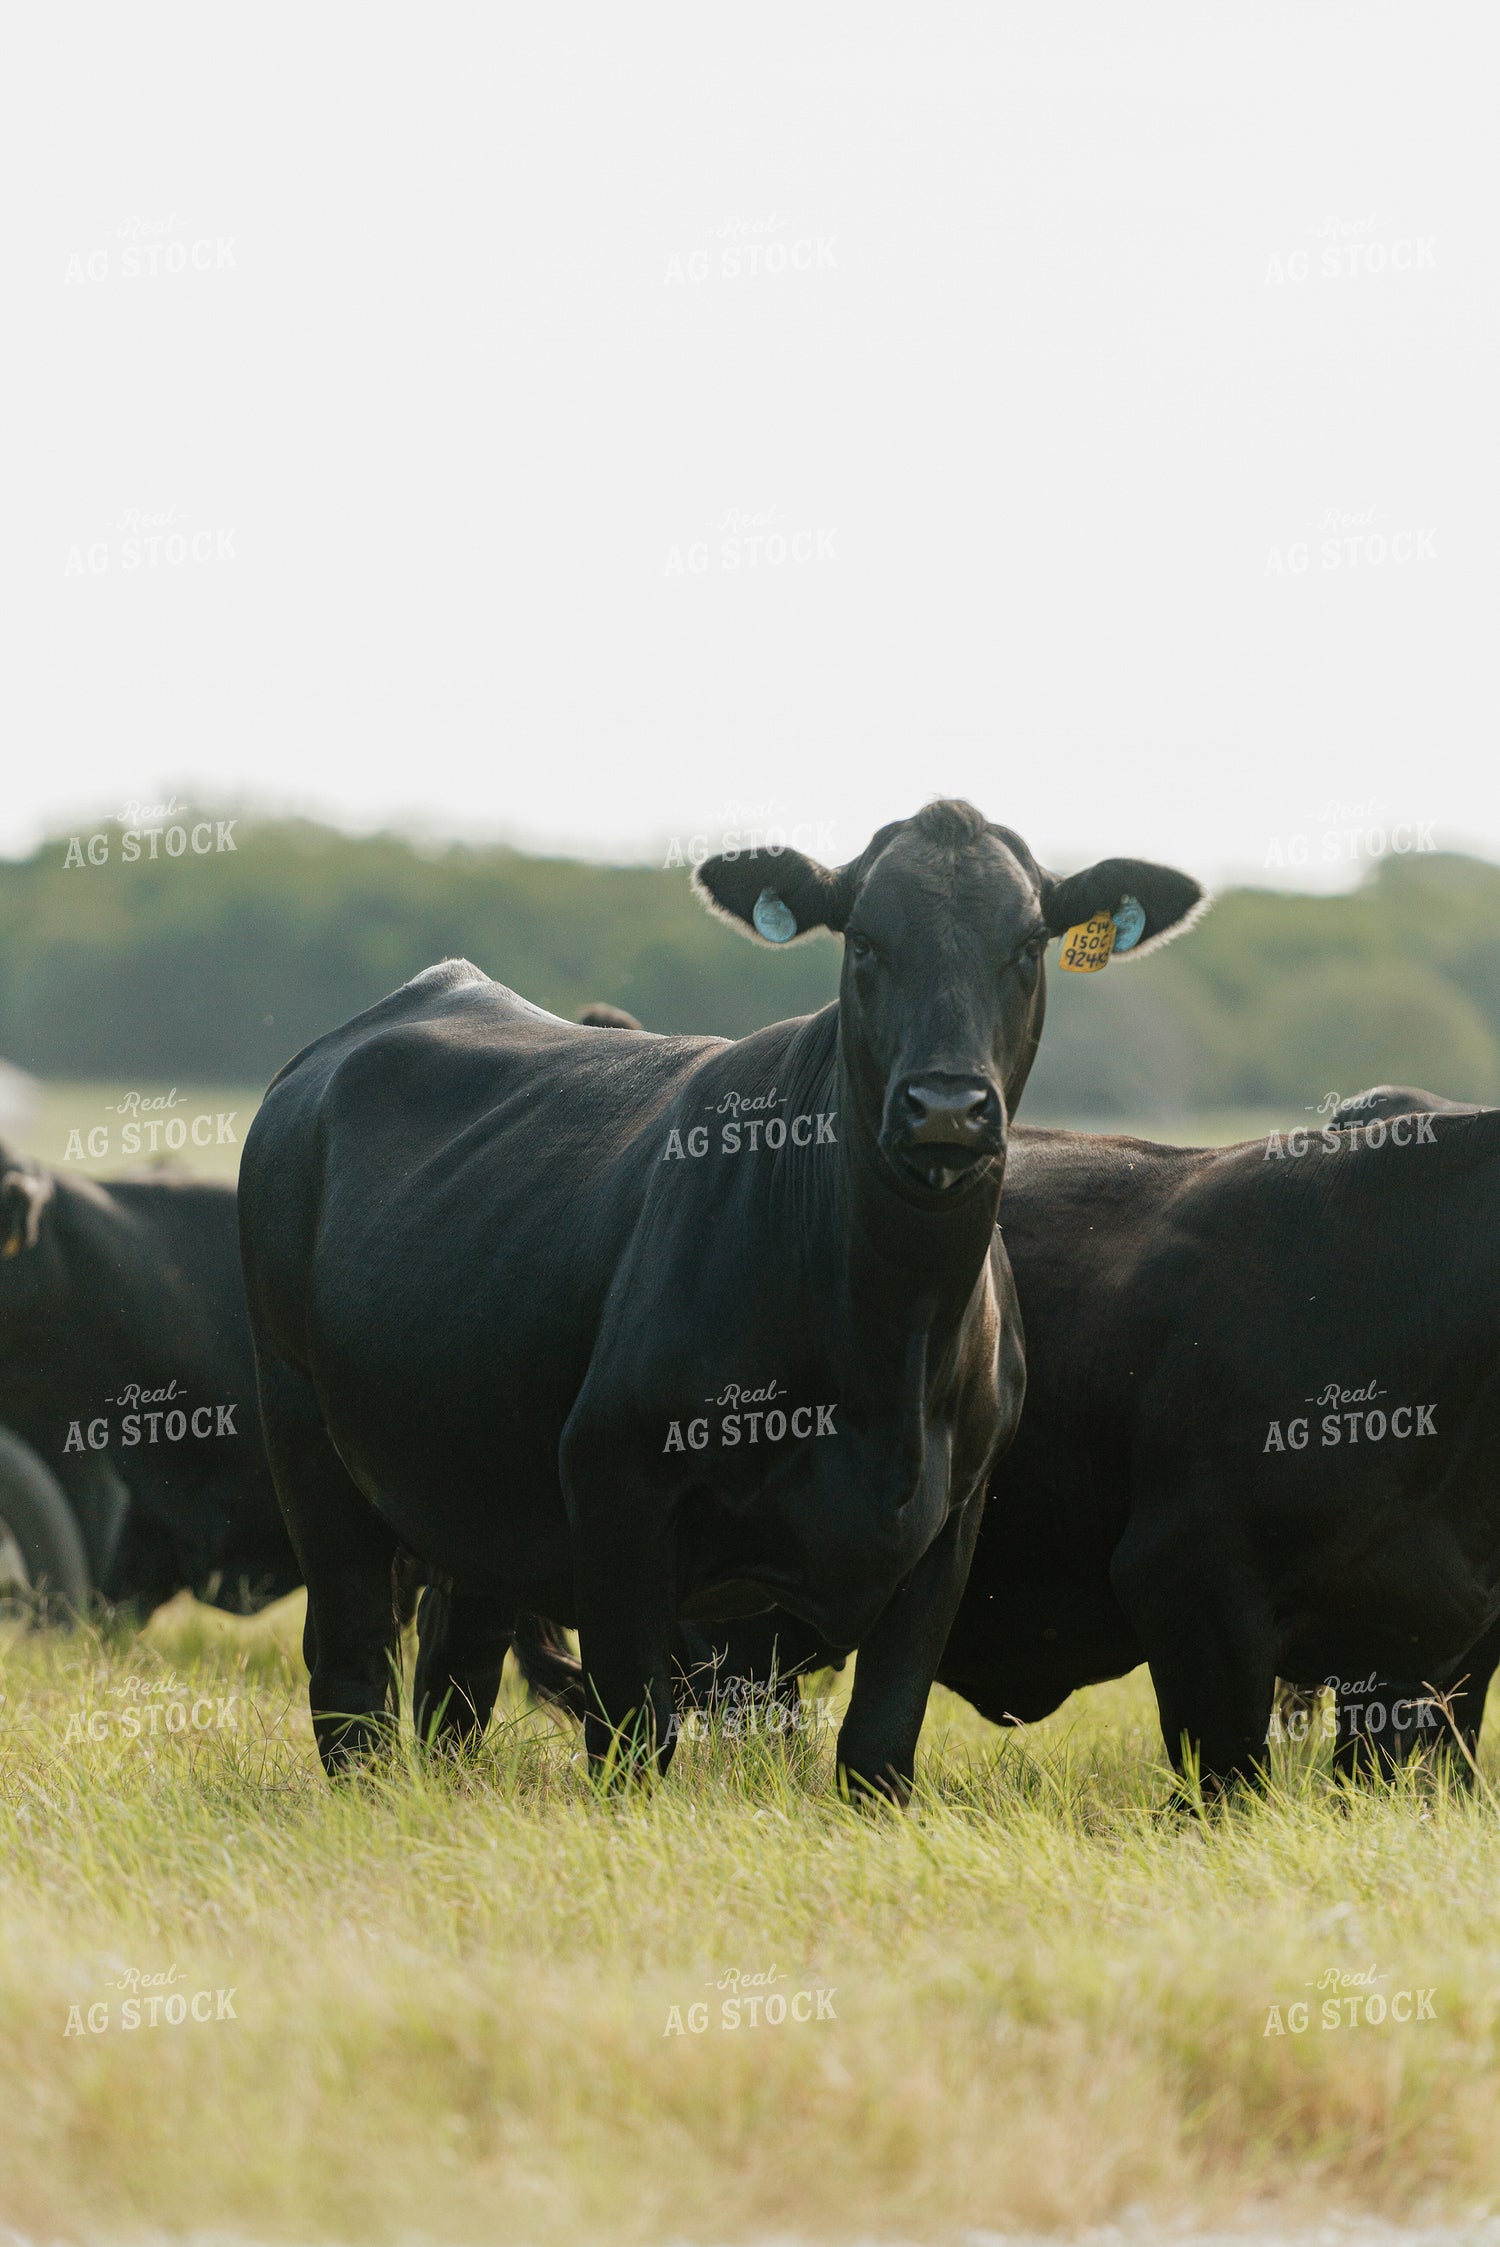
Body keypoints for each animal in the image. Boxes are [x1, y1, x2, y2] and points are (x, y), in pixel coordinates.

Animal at [236, 800, 1203, 1799]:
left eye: (1027, 944)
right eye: (864, 940)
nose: (945, 1105)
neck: (891, 1344)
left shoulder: (950, 1523)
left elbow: (878, 1748)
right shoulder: (616, 1485)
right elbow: (633, 1740)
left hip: (471, 1486)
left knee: (455, 1677)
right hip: (304, 1430)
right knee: (352, 1667)